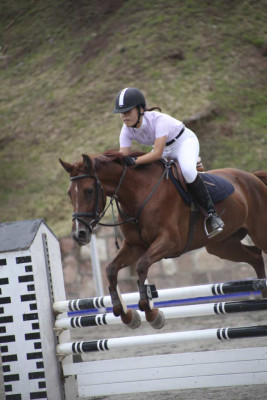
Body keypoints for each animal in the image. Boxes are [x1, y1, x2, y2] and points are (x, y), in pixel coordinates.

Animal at [60, 152, 267, 330]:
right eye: (69, 193)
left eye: (88, 191)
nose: (79, 234)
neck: (139, 193)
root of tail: (252, 176)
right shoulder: (134, 246)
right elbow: (111, 269)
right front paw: (127, 315)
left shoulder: (170, 243)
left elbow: (142, 266)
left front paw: (152, 314)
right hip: (222, 245)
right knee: (255, 257)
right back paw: (263, 295)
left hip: (258, 233)